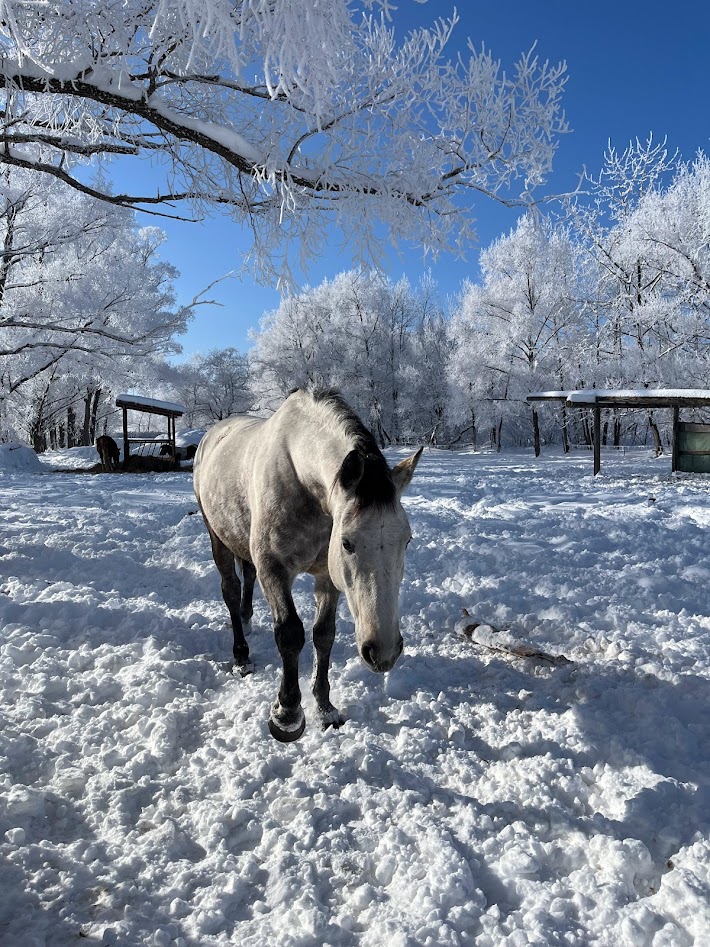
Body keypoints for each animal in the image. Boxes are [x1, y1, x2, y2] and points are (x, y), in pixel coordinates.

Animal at [195, 388, 422, 744]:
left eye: (408, 540)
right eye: (346, 543)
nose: (383, 653)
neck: (300, 478)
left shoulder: (328, 577)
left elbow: (323, 635)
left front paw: (325, 708)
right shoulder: (273, 569)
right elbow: (290, 634)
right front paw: (287, 715)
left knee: (245, 578)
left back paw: (246, 620)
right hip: (215, 534)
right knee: (230, 589)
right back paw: (241, 656)